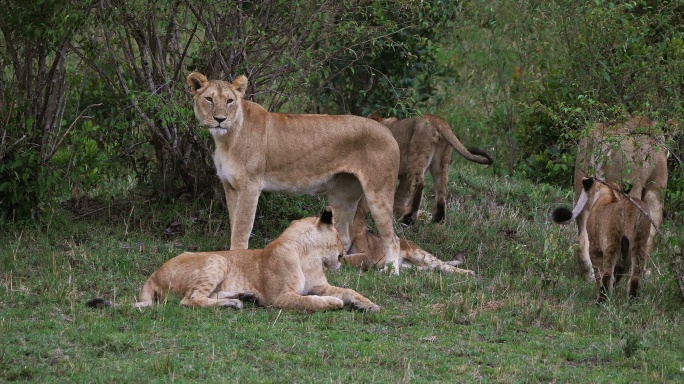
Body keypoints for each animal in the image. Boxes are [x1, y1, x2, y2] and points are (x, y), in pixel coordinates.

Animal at [133, 210, 380, 312]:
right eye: (338, 236)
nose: (343, 254)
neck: (308, 256)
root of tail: (153, 275)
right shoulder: (279, 297)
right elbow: (309, 301)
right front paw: (332, 303)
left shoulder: (320, 285)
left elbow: (349, 290)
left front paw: (369, 304)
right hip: (216, 259)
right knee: (190, 300)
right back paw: (235, 303)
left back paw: (244, 297)